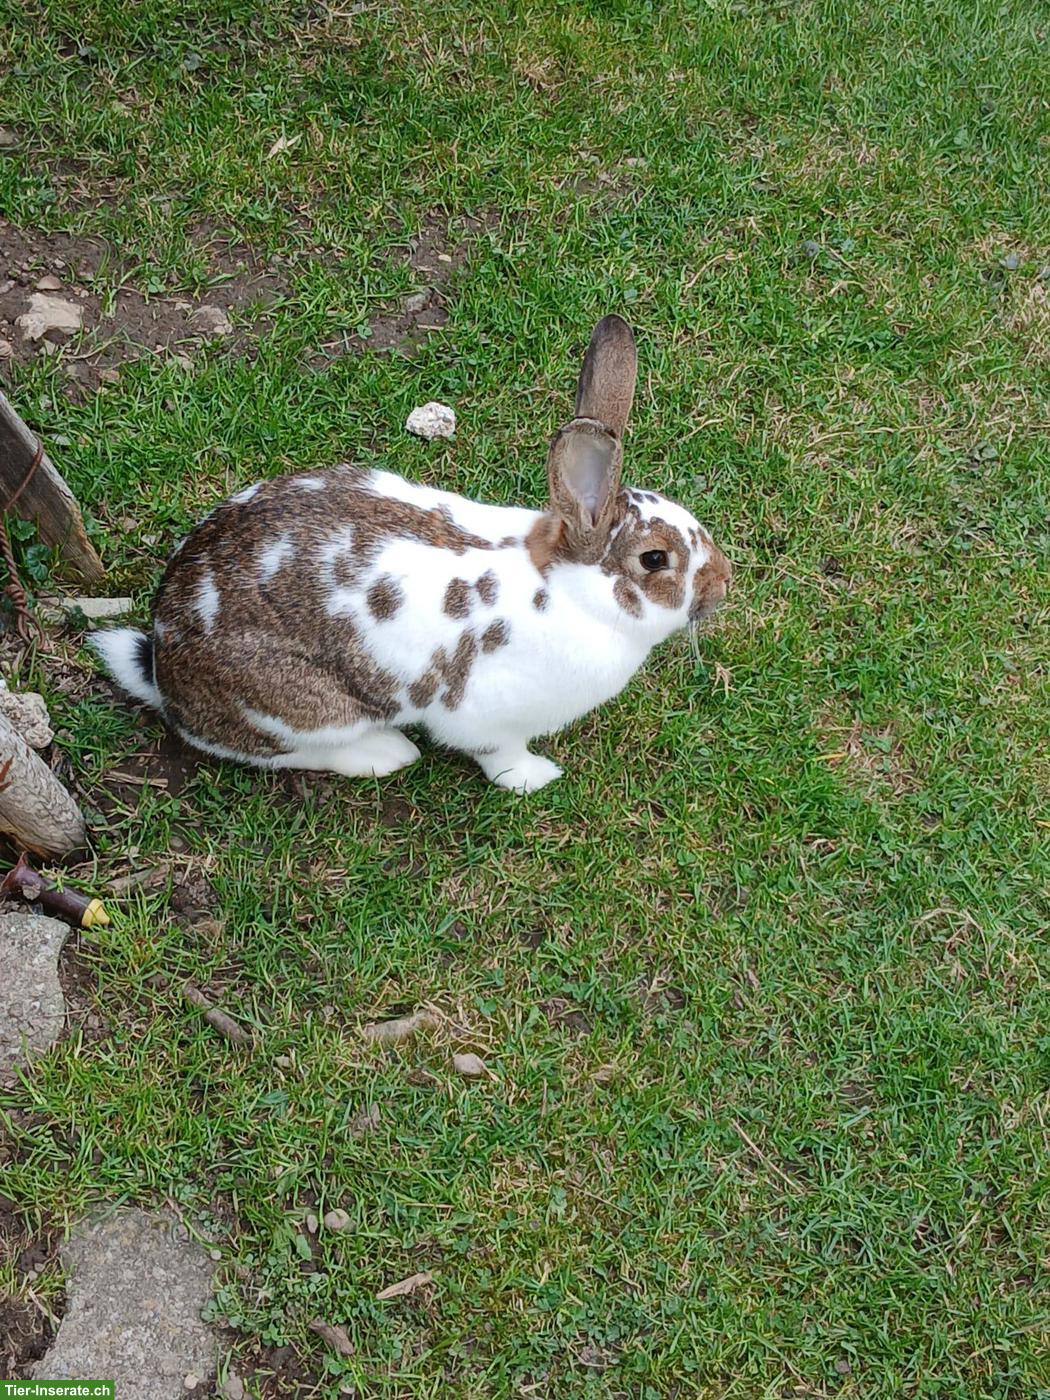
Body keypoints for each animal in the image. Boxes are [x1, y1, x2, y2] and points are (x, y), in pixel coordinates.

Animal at [93, 315, 731, 793]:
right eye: (655, 560)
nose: (723, 584)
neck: (567, 590)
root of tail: (163, 663)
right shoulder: (486, 715)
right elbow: (499, 753)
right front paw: (535, 776)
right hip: (304, 706)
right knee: (275, 750)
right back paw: (385, 753)